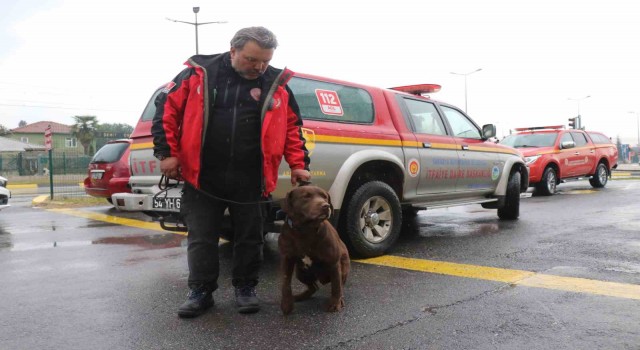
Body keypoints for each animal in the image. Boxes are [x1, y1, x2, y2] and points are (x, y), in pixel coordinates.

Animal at [278, 186, 350, 314]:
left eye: (325, 197)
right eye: (306, 196)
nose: (326, 205)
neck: (306, 230)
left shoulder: (334, 263)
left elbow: (336, 286)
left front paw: (335, 303)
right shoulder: (287, 259)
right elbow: (285, 283)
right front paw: (286, 304)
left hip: (343, 268)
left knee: (340, 284)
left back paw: (340, 299)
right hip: (301, 273)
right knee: (314, 287)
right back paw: (299, 296)